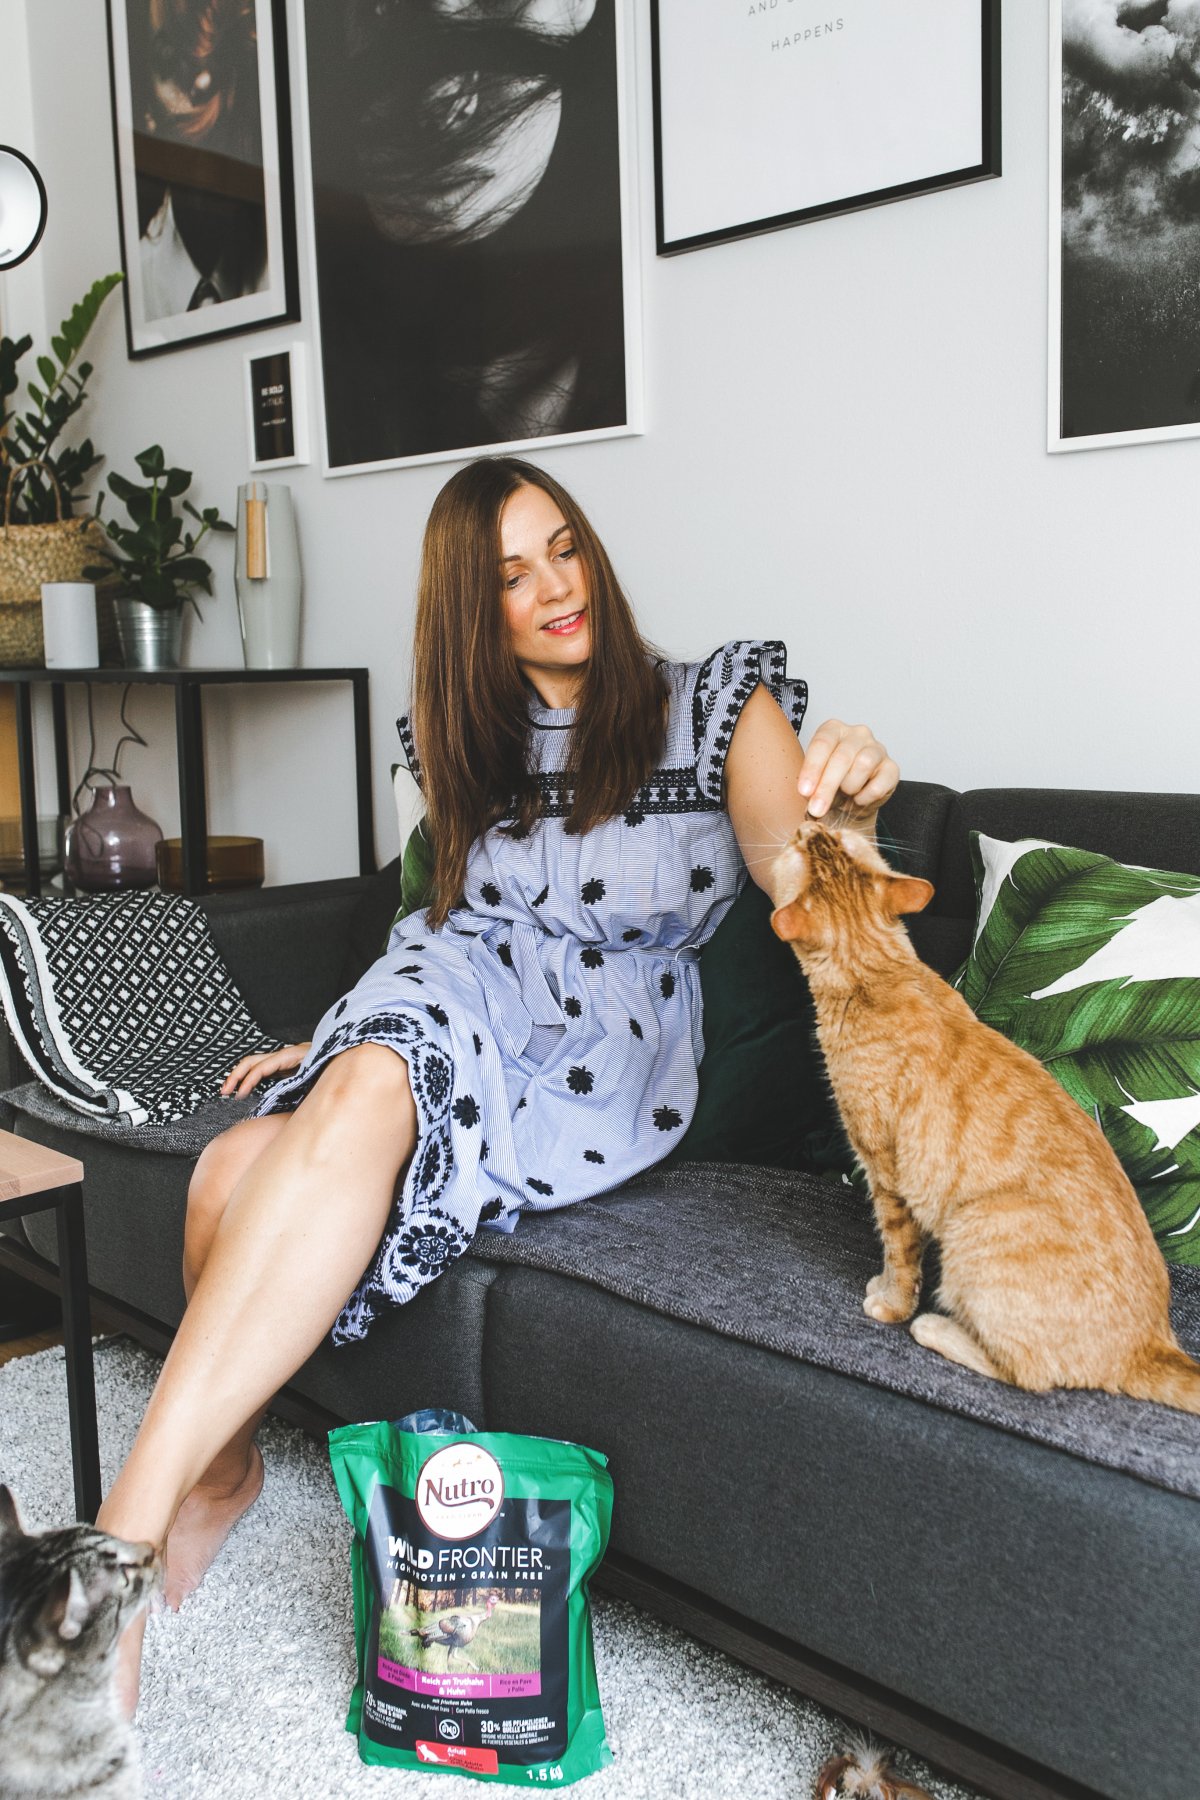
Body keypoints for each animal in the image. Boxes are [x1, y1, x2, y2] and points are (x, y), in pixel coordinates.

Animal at [770, 821, 1200, 1414]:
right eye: (828, 837)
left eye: (810, 841)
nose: (809, 821)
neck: (876, 971)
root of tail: (1152, 1343)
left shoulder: (887, 1174)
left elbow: (899, 1253)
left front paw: (890, 1301)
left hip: (971, 1226)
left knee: (1026, 1374)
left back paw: (934, 1326)